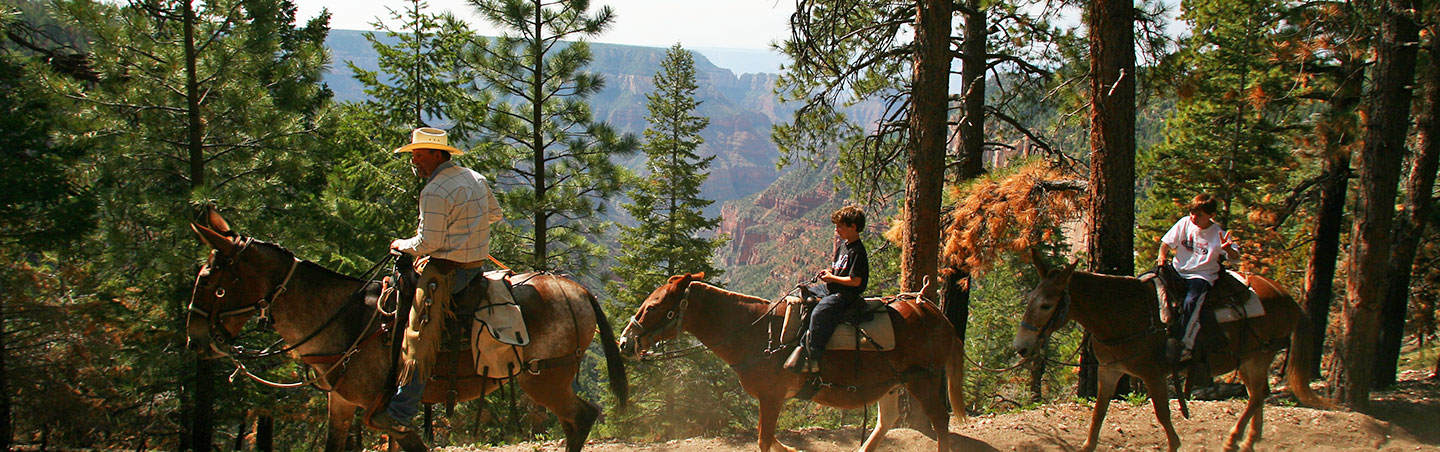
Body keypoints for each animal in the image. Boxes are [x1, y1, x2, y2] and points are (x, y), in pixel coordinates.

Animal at [184, 210, 624, 452]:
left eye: (208, 280)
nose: (196, 338)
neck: (344, 320)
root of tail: (578, 290)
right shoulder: (341, 403)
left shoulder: (381, 412)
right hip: (550, 380)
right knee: (574, 422)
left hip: (546, 378)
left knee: (582, 417)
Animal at [619, 272, 967, 452]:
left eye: (653, 306)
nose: (625, 342)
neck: (758, 333)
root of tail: (934, 313)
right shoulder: (771, 399)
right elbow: (770, 438)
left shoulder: (771, 397)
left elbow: (764, 439)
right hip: (891, 383)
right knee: (887, 421)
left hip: (923, 378)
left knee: (939, 419)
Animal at [1013, 250, 1336, 452]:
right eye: (1030, 299)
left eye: (1046, 305)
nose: (1021, 347)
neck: (1126, 314)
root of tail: (1287, 297)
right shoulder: (1110, 371)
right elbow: (1098, 414)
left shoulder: (1154, 375)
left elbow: (1163, 415)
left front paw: (1175, 443)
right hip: (1246, 360)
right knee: (1259, 394)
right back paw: (1247, 441)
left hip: (1258, 356)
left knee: (1258, 395)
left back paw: (1234, 441)